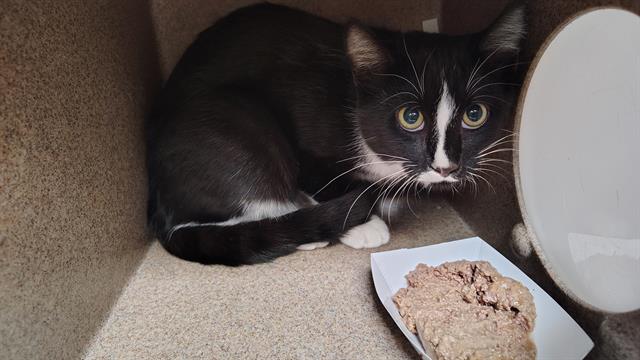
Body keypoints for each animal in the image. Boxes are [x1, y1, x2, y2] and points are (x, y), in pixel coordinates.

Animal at [148, 2, 528, 264]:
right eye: (411, 117)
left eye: (474, 115)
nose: (445, 167)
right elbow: (321, 178)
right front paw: (364, 221)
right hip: (232, 121)